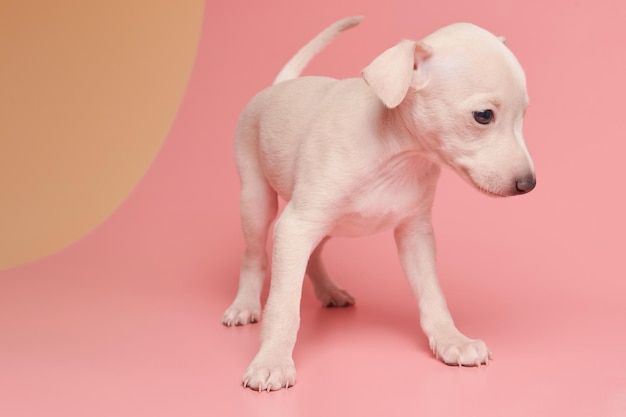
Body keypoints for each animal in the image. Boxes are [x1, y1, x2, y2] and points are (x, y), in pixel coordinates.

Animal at [219, 16, 532, 392]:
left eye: (524, 115)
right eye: (483, 115)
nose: (528, 184)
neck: (397, 152)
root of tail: (279, 86)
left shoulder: (415, 235)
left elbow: (432, 294)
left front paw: (452, 340)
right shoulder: (296, 227)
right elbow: (283, 304)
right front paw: (272, 361)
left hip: (328, 223)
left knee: (314, 254)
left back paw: (329, 291)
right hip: (256, 200)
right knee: (254, 255)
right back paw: (245, 305)